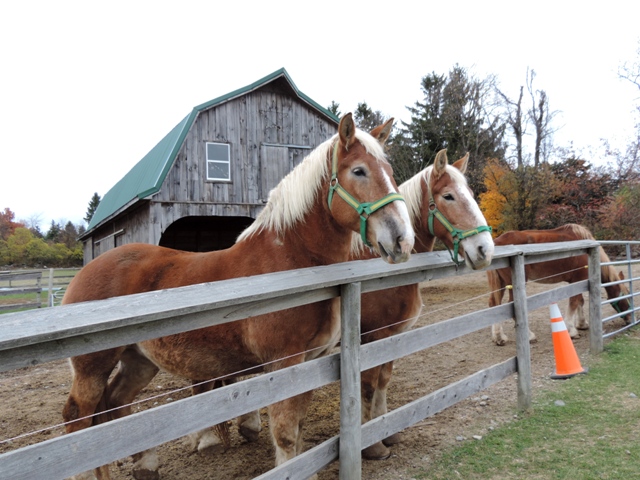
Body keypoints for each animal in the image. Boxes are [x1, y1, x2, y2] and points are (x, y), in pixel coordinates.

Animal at [60, 114, 416, 478]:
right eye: (358, 171)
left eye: (389, 170)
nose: (402, 239)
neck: (289, 262)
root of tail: (86, 271)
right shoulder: (284, 361)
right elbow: (286, 432)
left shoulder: (310, 360)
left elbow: (299, 427)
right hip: (92, 368)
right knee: (78, 420)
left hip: (139, 359)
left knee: (116, 405)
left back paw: (145, 465)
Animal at [490, 223, 632, 346]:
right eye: (625, 298)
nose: (630, 320)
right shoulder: (577, 280)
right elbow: (574, 302)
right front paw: (572, 330)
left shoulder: (578, 282)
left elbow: (580, 301)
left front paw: (582, 324)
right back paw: (530, 336)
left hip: (501, 283)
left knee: (494, 305)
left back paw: (498, 337)